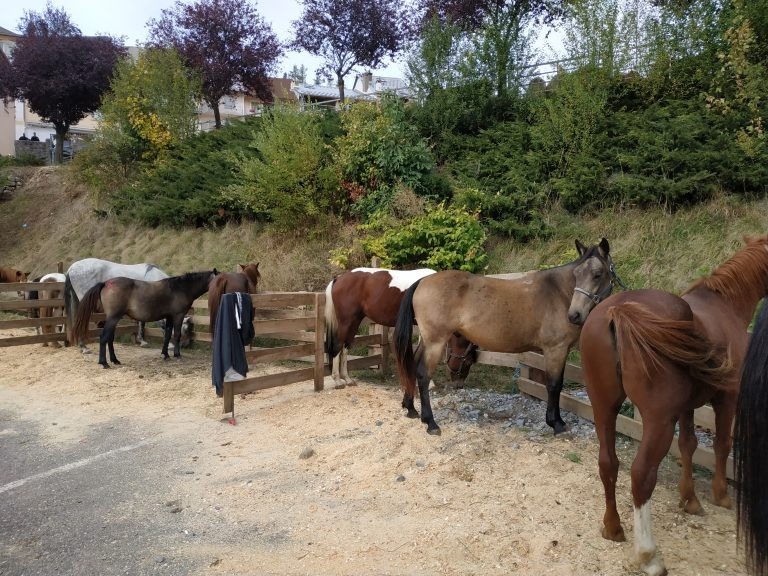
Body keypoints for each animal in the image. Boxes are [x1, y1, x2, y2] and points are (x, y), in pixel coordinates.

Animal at [70, 270, 217, 369]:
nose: (186, 345)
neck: (179, 288)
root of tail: (106, 283)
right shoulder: (177, 316)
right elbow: (176, 335)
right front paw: (177, 354)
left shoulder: (169, 317)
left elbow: (167, 335)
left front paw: (165, 354)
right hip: (113, 318)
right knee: (103, 337)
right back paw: (104, 363)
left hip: (113, 319)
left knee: (110, 339)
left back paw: (115, 360)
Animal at [324, 267, 475, 389]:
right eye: (468, 361)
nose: (459, 385)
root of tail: (339, 278)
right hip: (346, 321)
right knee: (338, 346)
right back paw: (338, 380)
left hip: (354, 321)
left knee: (345, 348)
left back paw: (347, 379)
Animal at [394, 238, 619, 435]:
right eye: (577, 273)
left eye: (597, 274)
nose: (575, 315)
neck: (558, 293)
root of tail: (422, 281)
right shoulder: (556, 350)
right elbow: (554, 386)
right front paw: (556, 423)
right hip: (436, 342)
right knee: (423, 374)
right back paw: (430, 422)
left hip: (427, 341)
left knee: (412, 365)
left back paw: (411, 408)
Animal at [578, 234, 768, 576]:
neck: (726, 307)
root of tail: (620, 310)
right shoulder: (727, 398)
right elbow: (721, 444)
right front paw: (721, 495)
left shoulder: (688, 407)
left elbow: (688, 445)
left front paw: (689, 499)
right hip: (658, 421)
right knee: (641, 475)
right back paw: (648, 556)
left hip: (603, 408)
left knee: (608, 463)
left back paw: (613, 528)